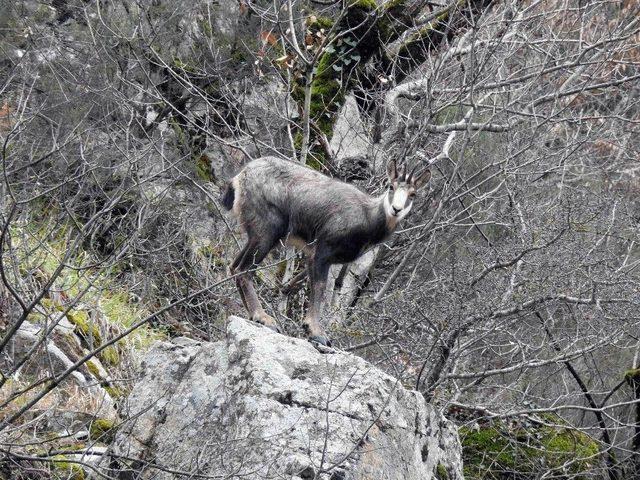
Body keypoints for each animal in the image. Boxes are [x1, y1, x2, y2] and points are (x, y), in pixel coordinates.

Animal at [221, 156, 430, 346]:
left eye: (413, 194)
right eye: (390, 186)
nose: (396, 209)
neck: (367, 218)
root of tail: (240, 177)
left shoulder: (316, 256)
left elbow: (303, 285)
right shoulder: (322, 251)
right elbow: (320, 287)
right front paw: (316, 332)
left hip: (255, 235)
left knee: (234, 267)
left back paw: (251, 314)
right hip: (267, 230)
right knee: (243, 270)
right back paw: (262, 316)